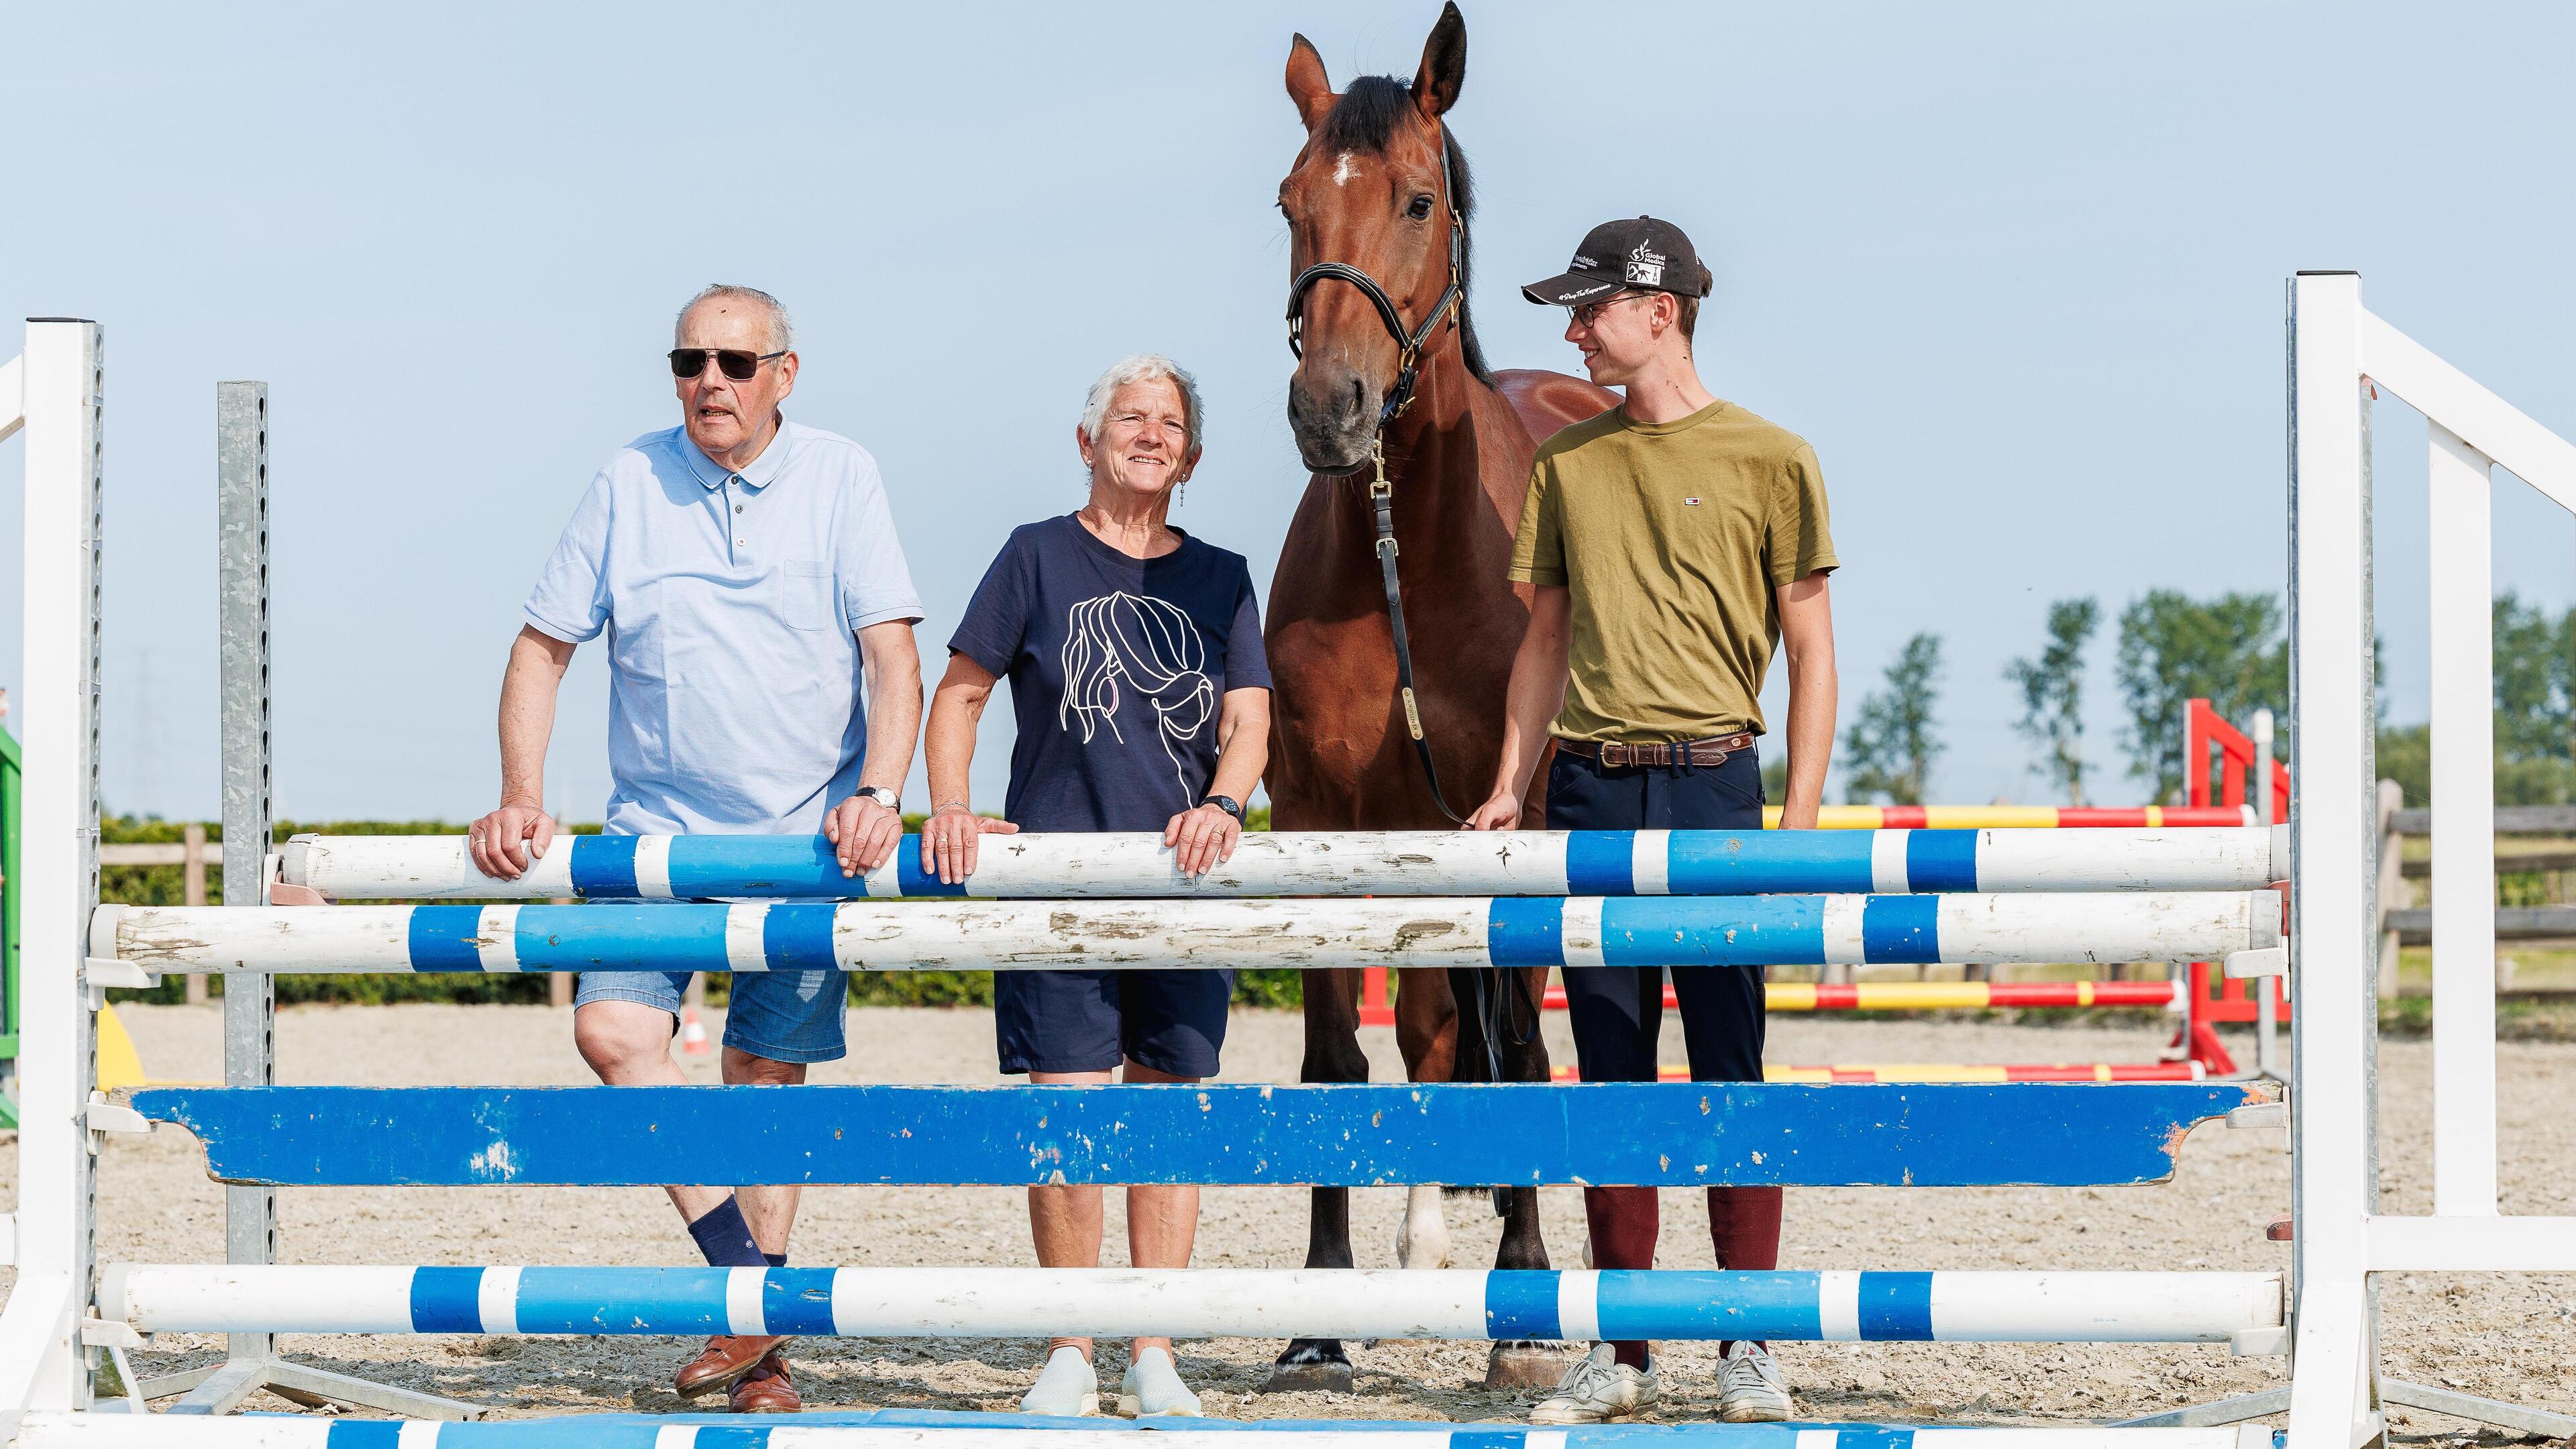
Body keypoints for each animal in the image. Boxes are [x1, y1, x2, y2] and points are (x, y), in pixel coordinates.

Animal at [1260, 2, 1617, 1394]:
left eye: (1418, 200)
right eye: (1291, 203)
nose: (1331, 411)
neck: (1405, 548)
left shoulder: (1510, 822)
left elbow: (1520, 1049)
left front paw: (1523, 1306)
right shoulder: (1315, 818)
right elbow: (1336, 1057)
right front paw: (1319, 1315)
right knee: (1426, 1030)